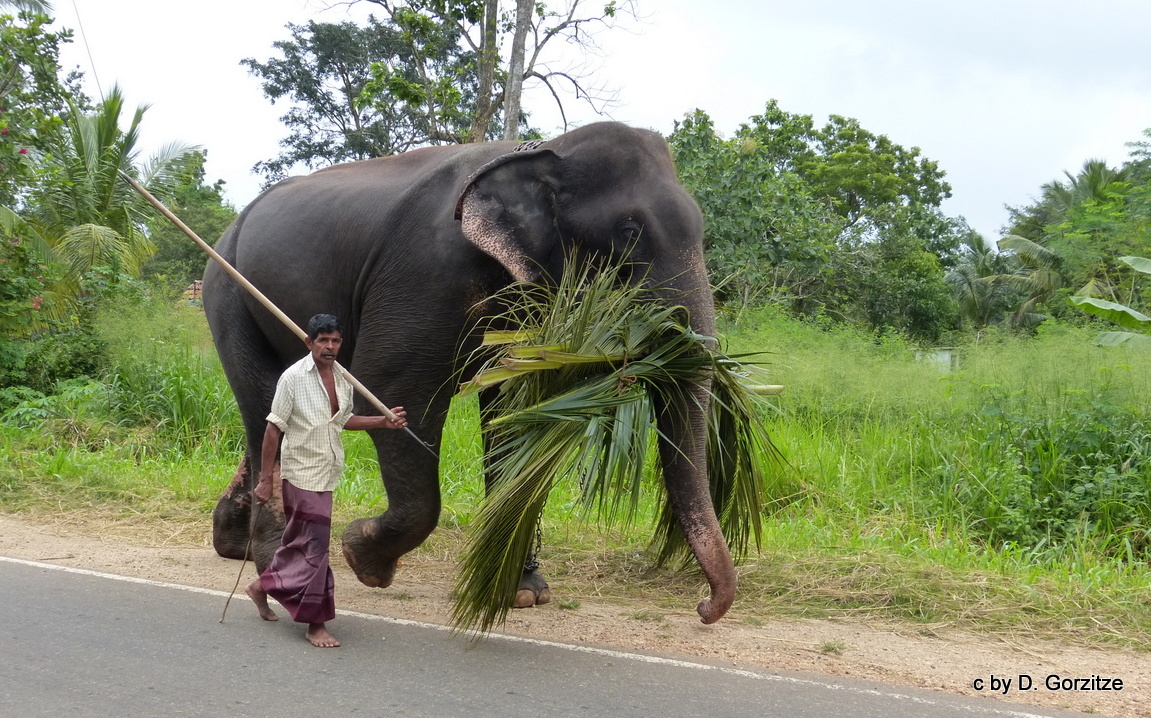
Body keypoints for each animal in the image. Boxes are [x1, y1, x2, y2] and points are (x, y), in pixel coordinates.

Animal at [204, 121, 736, 621]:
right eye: (629, 235)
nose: (703, 609)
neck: (545, 148)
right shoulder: (425, 271)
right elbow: (394, 390)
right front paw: (363, 557)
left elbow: (513, 414)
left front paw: (522, 593)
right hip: (228, 293)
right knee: (264, 405)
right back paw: (276, 561)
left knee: (275, 412)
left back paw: (234, 545)